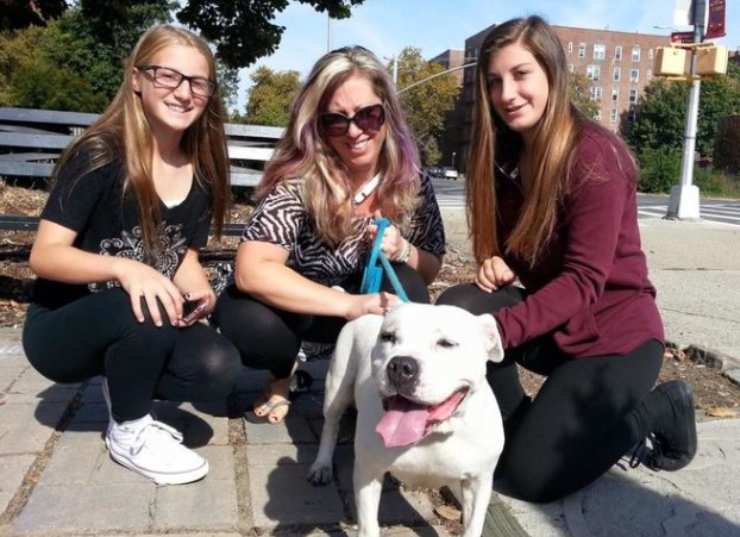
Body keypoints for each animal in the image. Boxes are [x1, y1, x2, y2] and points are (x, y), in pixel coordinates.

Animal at [308, 304, 508, 532]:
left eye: (447, 343)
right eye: (388, 337)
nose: (401, 365)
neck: (432, 434)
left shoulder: (478, 482)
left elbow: (473, 526)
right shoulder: (368, 470)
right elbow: (369, 526)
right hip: (337, 387)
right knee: (331, 425)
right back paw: (322, 465)